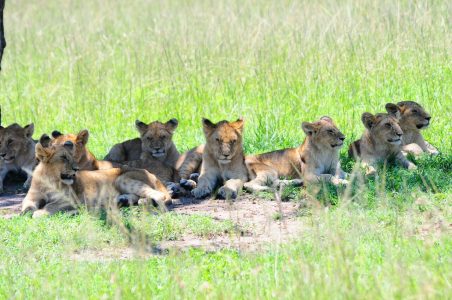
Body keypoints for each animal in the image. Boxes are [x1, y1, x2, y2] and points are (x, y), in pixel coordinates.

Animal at [20, 136, 171, 218]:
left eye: (72, 157)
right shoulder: (31, 197)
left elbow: (51, 205)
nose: (76, 169)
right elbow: (27, 205)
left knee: (160, 196)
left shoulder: (71, 199)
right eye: (63, 157)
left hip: (122, 178)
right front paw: (25, 213)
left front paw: (39, 213)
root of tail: (150, 173)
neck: (49, 180)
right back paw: (123, 200)